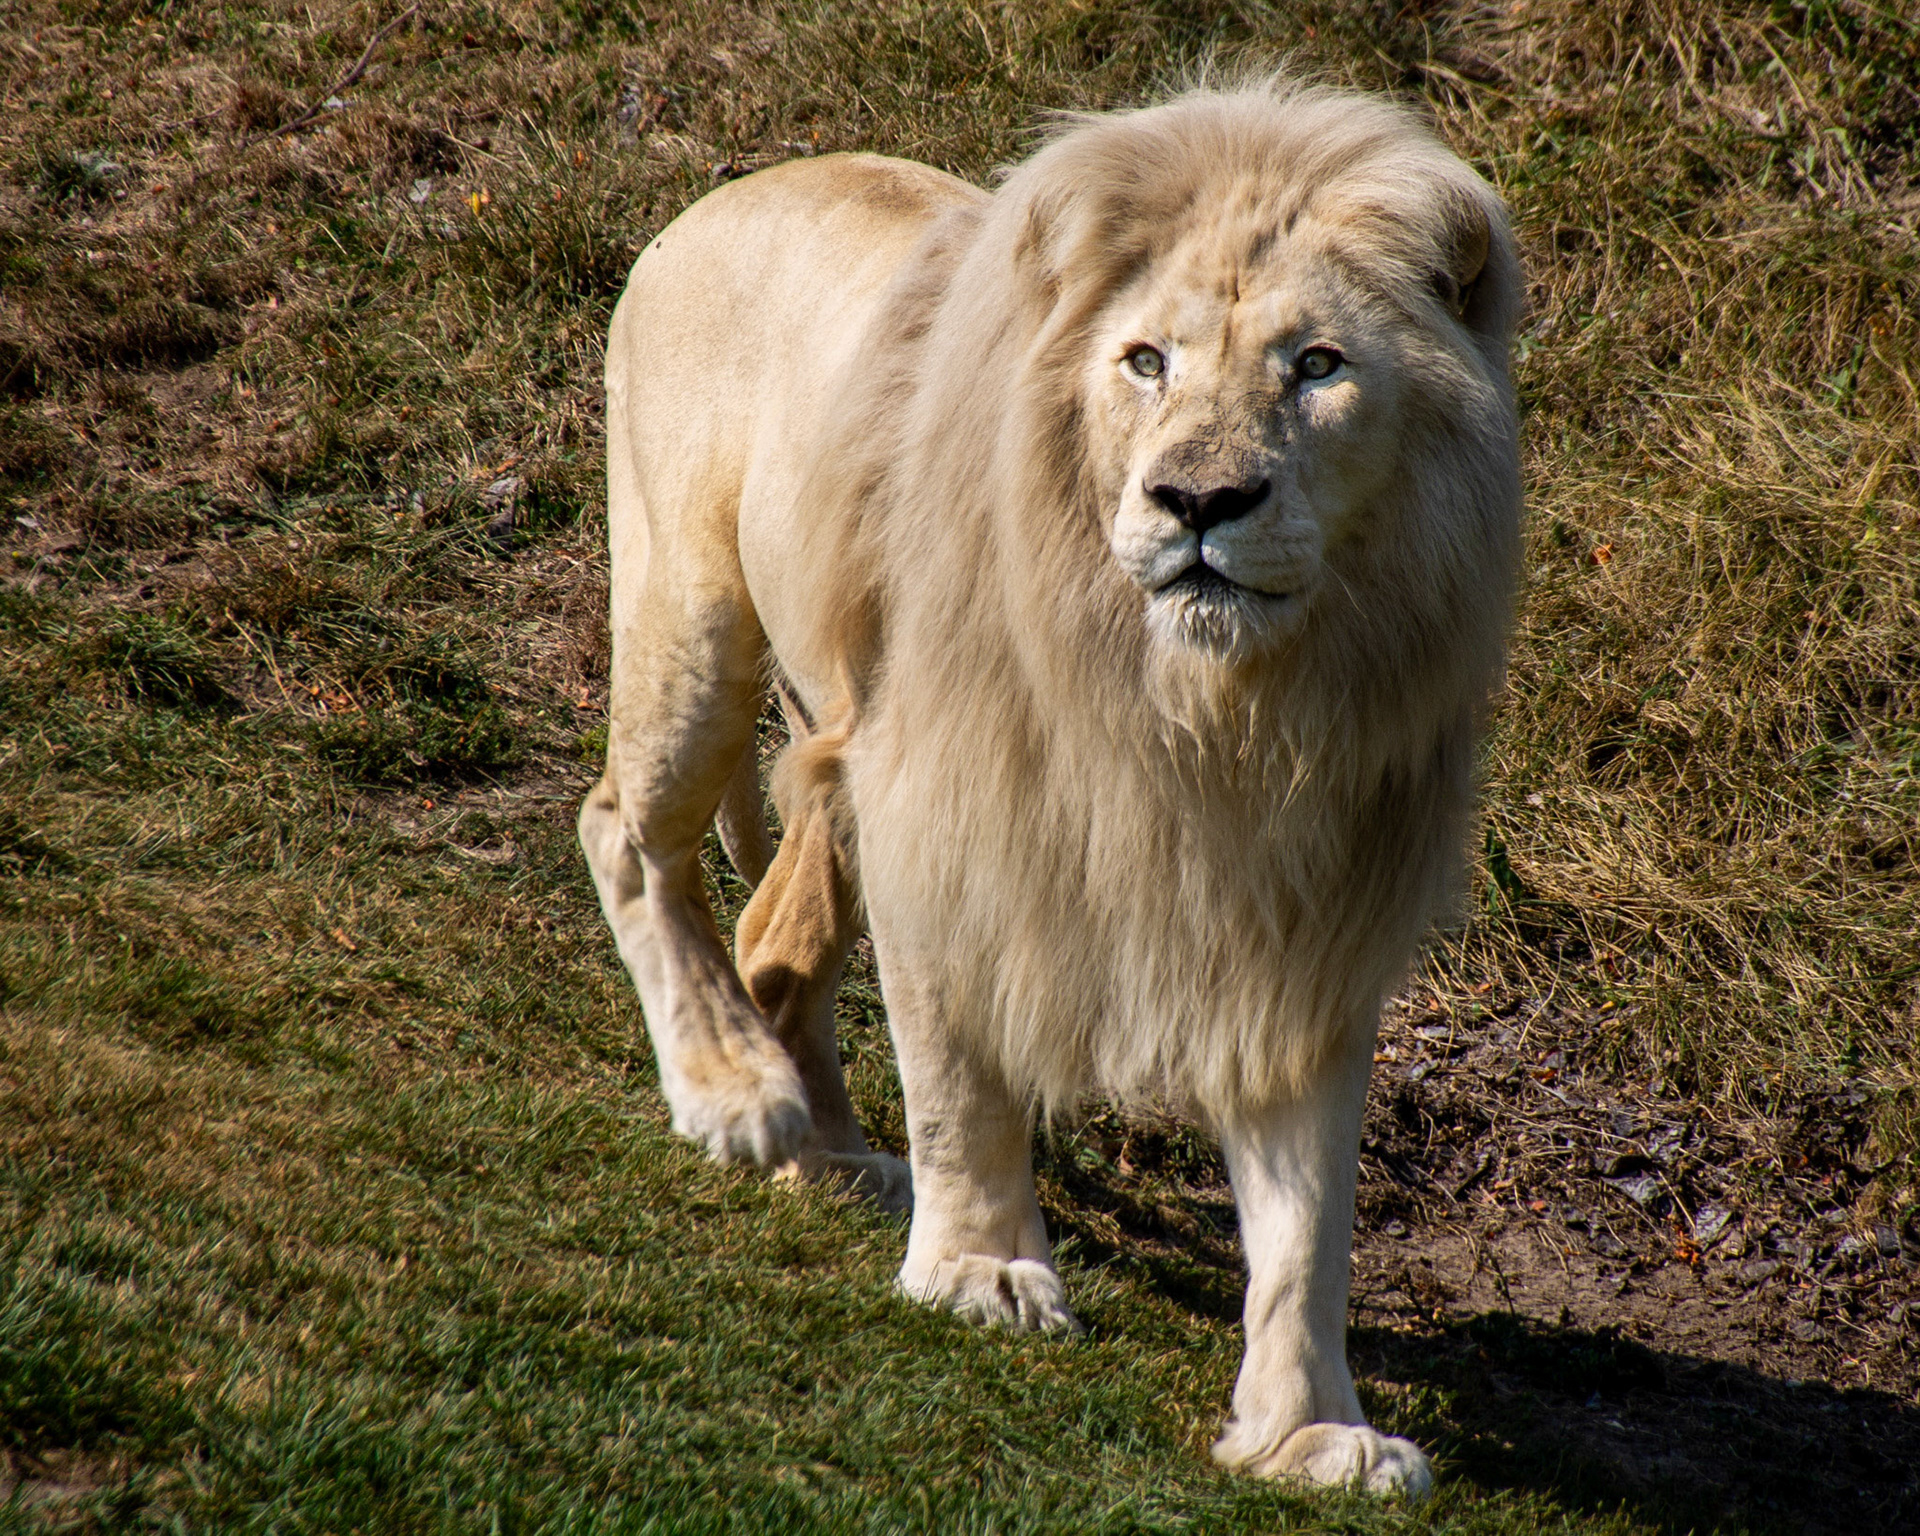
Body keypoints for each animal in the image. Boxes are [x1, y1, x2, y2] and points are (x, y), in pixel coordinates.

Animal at [578, 78, 1520, 1498]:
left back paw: (833, 1156)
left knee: (776, 937)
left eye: (1317, 366)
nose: (1198, 499)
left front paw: (1309, 1431)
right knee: (628, 835)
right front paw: (981, 1270)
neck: (1213, 713)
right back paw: (736, 1095)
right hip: (694, 622)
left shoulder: (1317, 914)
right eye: (1146, 362)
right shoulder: (946, 804)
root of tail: (726, 194)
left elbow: (1310, 1216)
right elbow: (960, 1075)